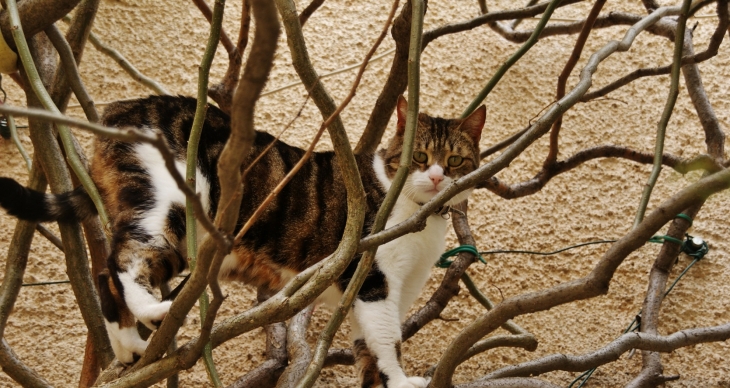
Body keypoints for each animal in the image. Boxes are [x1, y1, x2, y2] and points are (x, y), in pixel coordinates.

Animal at [0, 94, 484, 388]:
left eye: (456, 161)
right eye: (419, 156)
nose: (436, 177)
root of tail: (129, 107)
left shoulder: (398, 291)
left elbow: (370, 344)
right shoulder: (369, 276)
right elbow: (387, 340)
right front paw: (400, 379)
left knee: (103, 273)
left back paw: (129, 346)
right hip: (173, 204)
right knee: (124, 262)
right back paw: (153, 311)